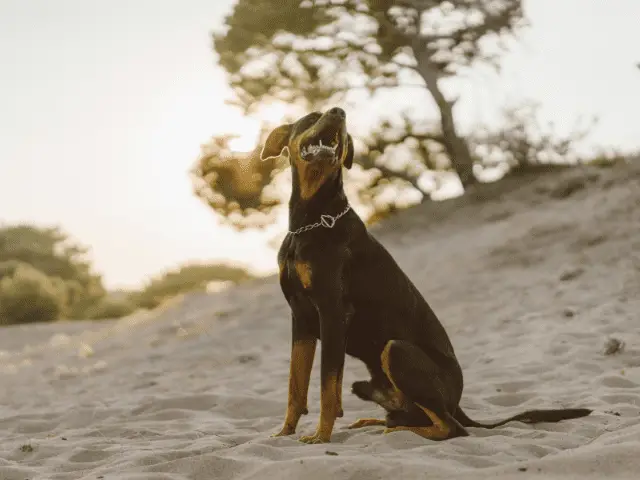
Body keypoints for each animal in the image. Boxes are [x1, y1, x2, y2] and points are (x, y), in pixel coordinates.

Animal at [258, 107, 592, 444]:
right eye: (313, 116)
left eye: (340, 123)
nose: (340, 113)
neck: (312, 221)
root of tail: (458, 403)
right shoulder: (301, 318)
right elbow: (295, 386)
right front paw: (284, 432)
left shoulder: (332, 313)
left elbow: (328, 387)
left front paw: (321, 437)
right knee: (412, 413)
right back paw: (378, 422)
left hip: (397, 350)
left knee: (450, 427)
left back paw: (400, 430)